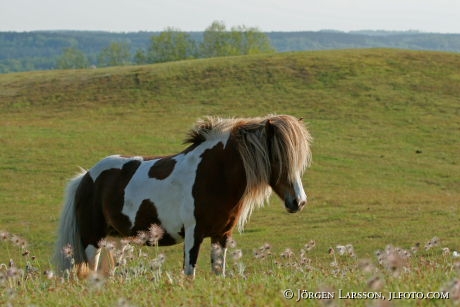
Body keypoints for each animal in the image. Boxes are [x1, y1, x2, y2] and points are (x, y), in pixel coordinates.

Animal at [54, 115, 312, 280]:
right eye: (278, 158)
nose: (298, 202)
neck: (213, 174)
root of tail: (87, 177)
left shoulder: (221, 235)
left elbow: (219, 274)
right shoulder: (193, 234)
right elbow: (189, 274)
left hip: (116, 241)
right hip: (93, 241)